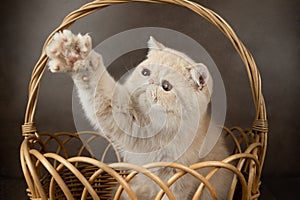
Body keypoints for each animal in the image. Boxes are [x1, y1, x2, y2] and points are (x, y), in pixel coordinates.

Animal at [45, 30, 232, 200]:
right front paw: (74, 55)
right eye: (146, 73)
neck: (160, 130)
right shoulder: (125, 119)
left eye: (166, 86)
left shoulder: (179, 177)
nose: (150, 82)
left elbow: (169, 195)